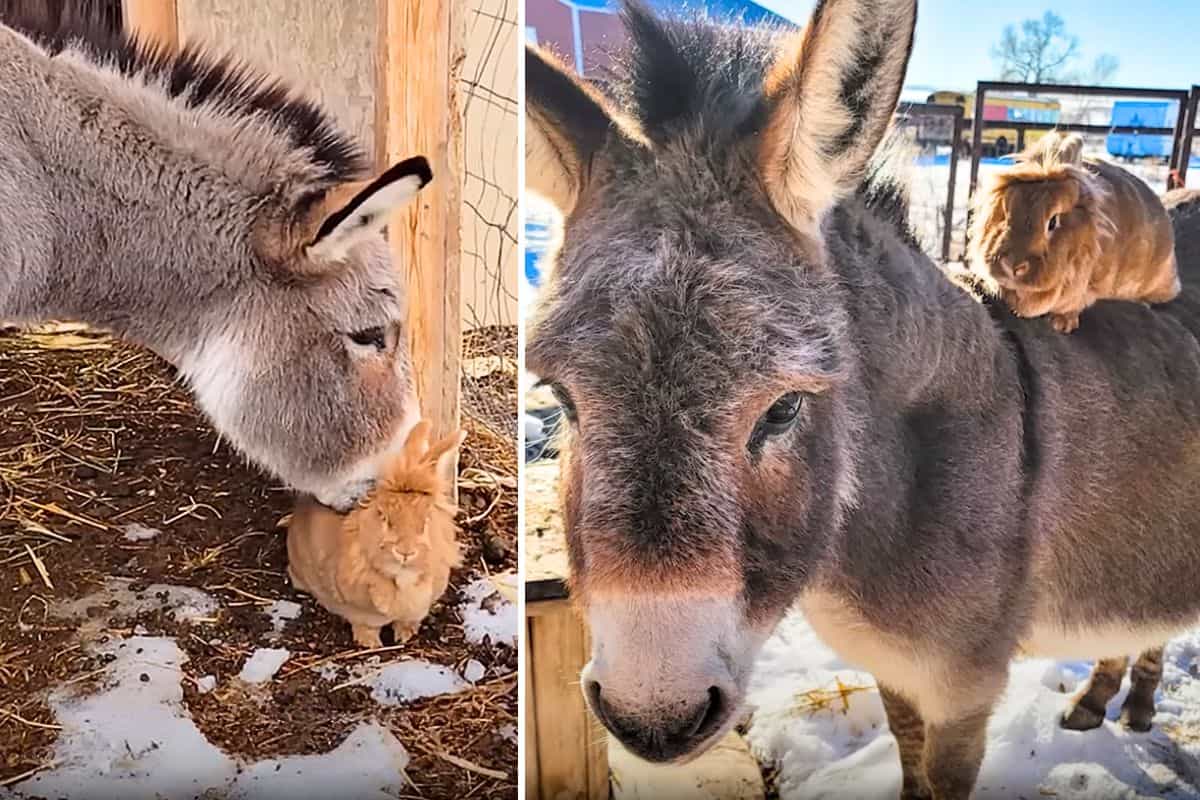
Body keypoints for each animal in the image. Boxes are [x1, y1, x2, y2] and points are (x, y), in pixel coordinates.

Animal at [285, 422, 463, 647]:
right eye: (382, 515)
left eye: (427, 518)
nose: (405, 552)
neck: (403, 578)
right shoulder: (360, 614)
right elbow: (366, 627)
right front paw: (372, 645)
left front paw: (405, 636)